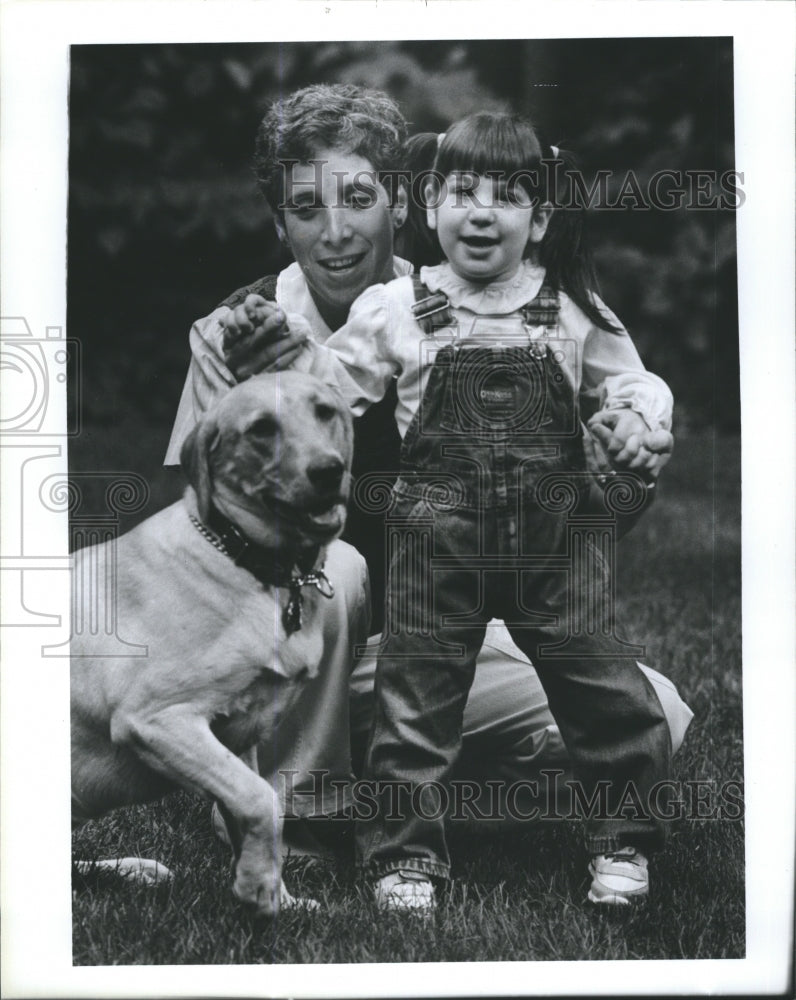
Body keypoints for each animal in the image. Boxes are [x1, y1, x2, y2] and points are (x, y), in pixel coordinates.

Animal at [69, 370, 354, 916]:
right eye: (261, 429)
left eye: (325, 412)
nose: (330, 471)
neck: (252, 566)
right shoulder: (158, 721)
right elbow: (261, 800)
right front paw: (257, 889)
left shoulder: (237, 736)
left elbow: (257, 804)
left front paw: (276, 895)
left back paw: (134, 870)